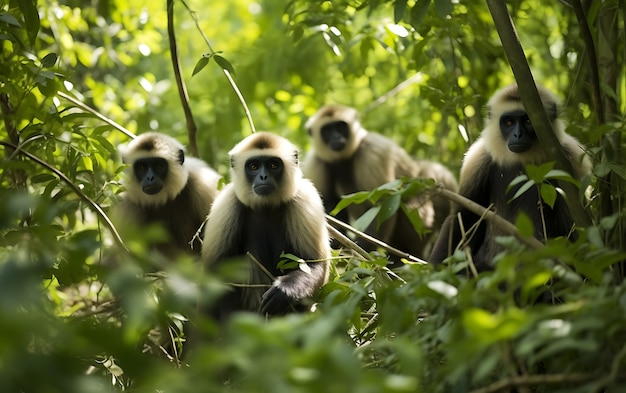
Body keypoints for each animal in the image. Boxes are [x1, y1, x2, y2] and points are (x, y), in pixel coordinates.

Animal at [201, 132, 330, 318]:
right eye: (253, 166)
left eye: (273, 165)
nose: (263, 177)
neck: (266, 206)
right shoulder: (226, 203)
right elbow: (216, 274)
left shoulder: (305, 197)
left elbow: (315, 264)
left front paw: (284, 291)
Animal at [302, 103, 458, 266]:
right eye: (327, 131)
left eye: (340, 127)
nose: (336, 138)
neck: (345, 159)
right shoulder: (315, 163)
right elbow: (327, 205)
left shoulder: (373, 152)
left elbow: (382, 204)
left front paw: (363, 255)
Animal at [428, 84, 588, 272]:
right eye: (509, 122)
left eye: (528, 121)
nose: (518, 135)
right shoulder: (478, 158)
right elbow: (463, 215)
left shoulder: (571, 157)